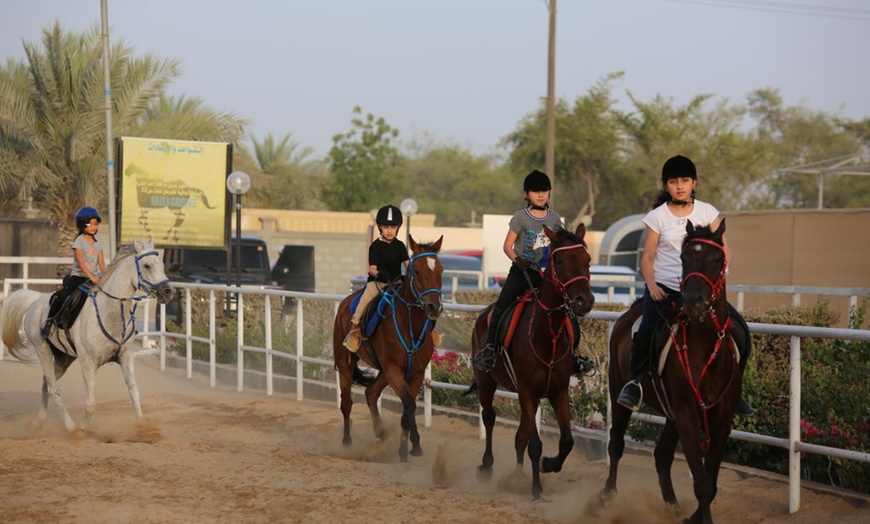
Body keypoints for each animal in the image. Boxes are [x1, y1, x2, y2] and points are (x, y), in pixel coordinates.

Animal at [1, 239, 175, 432]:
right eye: (147, 265)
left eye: (161, 265)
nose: (168, 291)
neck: (110, 314)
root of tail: (37, 299)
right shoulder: (88, 364)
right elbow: (91, 403)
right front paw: (83, 429)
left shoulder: (126, 357)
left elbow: (134, 392)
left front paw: (143, 427)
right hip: (43, 352)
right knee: (54, 389)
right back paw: (71, 428)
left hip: (64, 359)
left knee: (46, 384)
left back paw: (40, 421)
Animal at [332, 235, 446, 460]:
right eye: (417, 271)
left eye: (441, 270)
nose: (433, 306)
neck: (409, 324)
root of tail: (345, 303)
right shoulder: (394, 370)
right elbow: (409, 404)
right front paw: (415, 445)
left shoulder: (416, 372)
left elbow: (406, 411)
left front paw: (403, 450)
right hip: (346, 364)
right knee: (347, 403)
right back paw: (347, 442)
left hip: (383, 371)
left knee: (371, 393)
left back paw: (382, 432)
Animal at [474, 224, 596, 500]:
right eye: (560, 261)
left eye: (587, 260)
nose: (584, 301)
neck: (546, 334)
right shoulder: (527, 391)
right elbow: (535, 444)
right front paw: (536, 489)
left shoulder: (558, 391)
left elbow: (566, 441)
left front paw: (548, 465)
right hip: (486, 381)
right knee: (489, 416)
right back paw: (486, 465)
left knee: (520, 436)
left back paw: (517, 476)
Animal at [600, 218, 748, 524]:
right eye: (684, 257)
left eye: (718, 259)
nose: (693, 301)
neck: (704, 350)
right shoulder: (688, 415)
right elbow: (702, 483)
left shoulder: (721, 420)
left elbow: (711, 483)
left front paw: (693, 517)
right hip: (620, 393)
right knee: (616, 443)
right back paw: (607, 496)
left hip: (671, 413)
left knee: (662, 455)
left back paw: (671, 504)